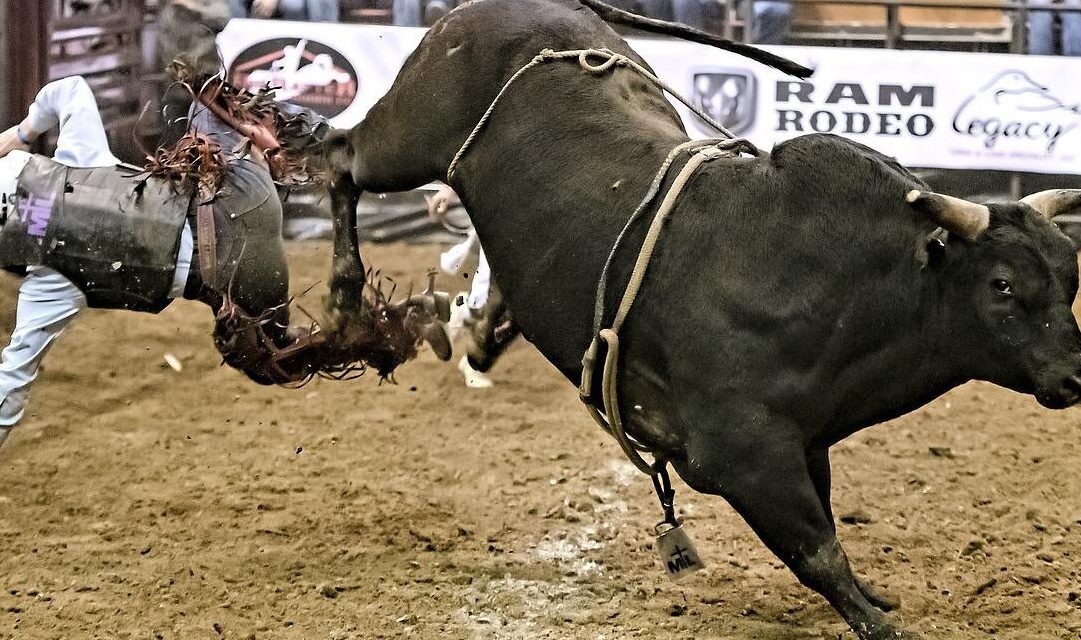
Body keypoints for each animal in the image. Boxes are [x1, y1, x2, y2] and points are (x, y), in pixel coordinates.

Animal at [317, 2, 1081, 635]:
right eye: (1003, 285)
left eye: (1070, 280)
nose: (1075, 378)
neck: (831, 285)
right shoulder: (744, 456)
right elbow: (818, 551)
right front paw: (876, 620)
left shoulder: (806, 443)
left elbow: (828, 527)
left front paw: (873, 595)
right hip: (407, 139)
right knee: (340, 157)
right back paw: (345, 297)